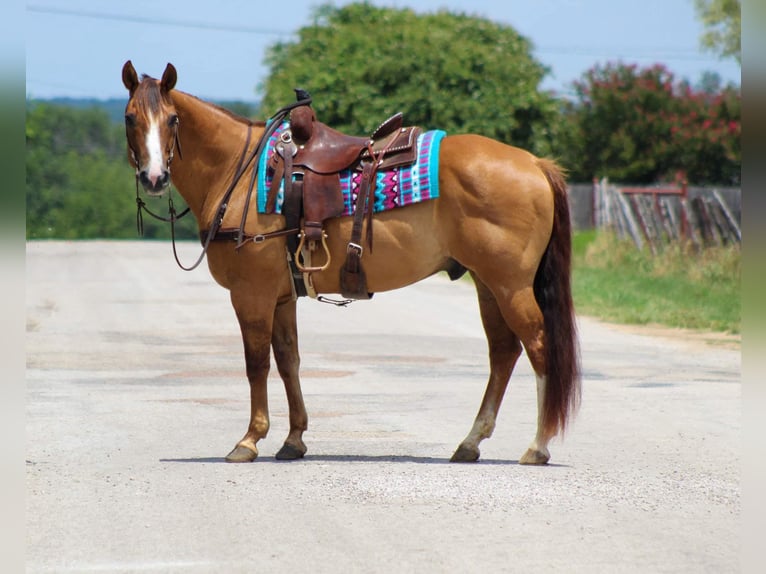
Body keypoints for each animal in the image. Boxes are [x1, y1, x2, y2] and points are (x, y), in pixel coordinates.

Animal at [121, 60, 580, 464]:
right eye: (130, 118)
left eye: (174, 119)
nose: (155, 177)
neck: (241, 170)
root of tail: (535, 163)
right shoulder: (281, 297)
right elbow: (288, 362)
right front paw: (293, 439)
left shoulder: (251, 295)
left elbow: (257, 365)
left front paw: (249, 440)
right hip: (488, 284)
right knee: (503, 352)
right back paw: (470, 442)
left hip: (510, 286)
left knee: (538, 348)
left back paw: (537, 446)